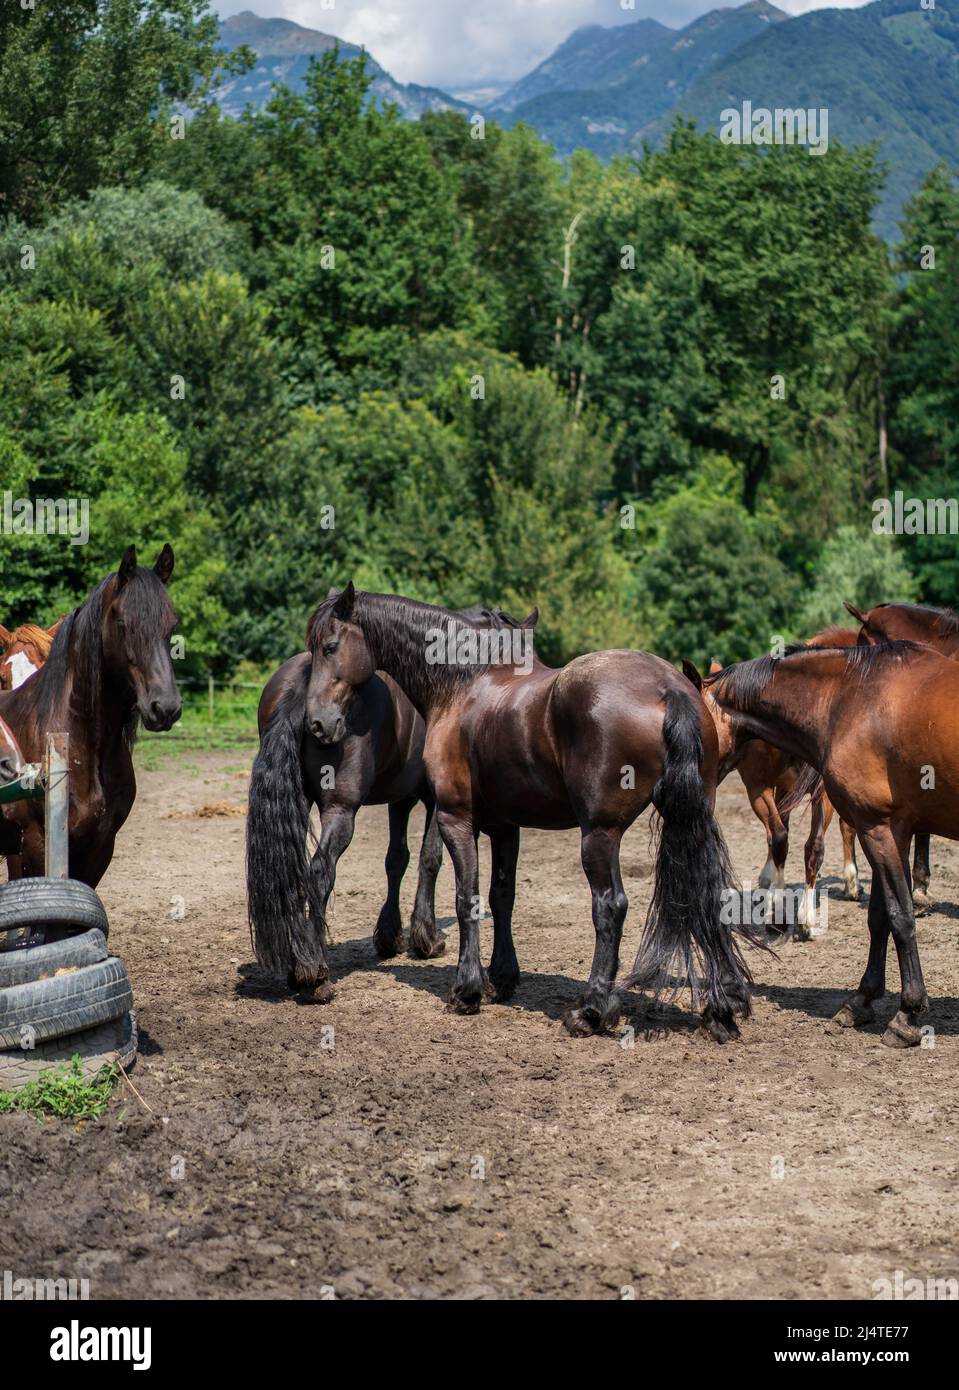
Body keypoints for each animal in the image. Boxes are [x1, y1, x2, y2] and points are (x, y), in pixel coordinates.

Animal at [262, 583, 756, 1045]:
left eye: (329, 646)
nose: (318, 724)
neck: (463, 683)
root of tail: (667, 688)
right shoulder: (505, 827)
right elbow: (502, 897)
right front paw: (500, 978)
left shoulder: (455, 818)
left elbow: (466, 897)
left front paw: (466, 990)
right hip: (692, 818)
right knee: (704, 893)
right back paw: (722, 1008)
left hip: (600, 834)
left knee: (610, 906)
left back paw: (592, 1010)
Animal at [706, 644, 956, 1045]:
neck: (851, 698)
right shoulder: (890, 831)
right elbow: (879, 916)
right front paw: (862, 1001)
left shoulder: (876, 828)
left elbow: (900, 916)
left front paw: (908, 1015)